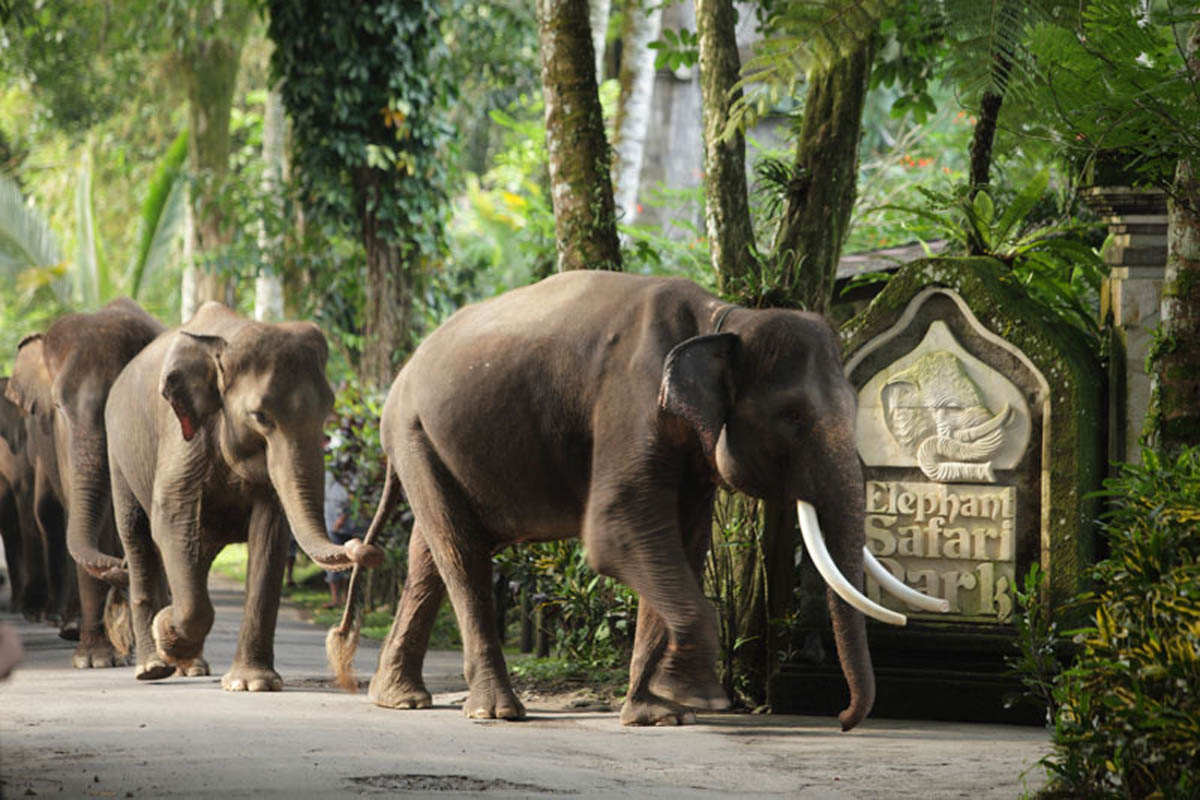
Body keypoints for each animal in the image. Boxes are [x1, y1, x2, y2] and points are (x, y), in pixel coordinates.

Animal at [107, 303, 381, 690]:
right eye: (260, 416)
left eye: (328, 410)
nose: (365, 548)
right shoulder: (182, 436)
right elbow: (171, 517)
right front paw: (165, 630)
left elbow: (270, 535)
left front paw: (254, 683)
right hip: (118, 452)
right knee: (138, 535)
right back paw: (153, 667)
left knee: (198, 552)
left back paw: (188, 664)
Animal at [333, 271, 940, 734]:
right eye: (792, 416)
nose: (843, 719)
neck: (725, 320)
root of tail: (403, 371)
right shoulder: (631, 401)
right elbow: (618, 532)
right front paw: (699, 698)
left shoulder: (692, 444)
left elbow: (684, 542)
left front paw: (658, 715)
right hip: (413, 433)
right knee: (462, 554)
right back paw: (496, 712)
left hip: (433, 445)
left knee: (430, 553)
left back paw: (399, 699)